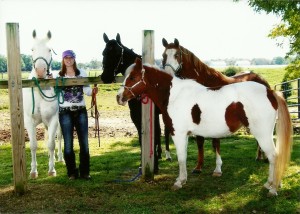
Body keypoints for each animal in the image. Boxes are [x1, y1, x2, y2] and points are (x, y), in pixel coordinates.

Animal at [23, 29, 63, 178]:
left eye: (49, 49)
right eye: (32, 49)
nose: (40, 71)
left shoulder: (53, 120)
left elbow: (51, 143)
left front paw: (52, 170)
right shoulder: (29, 121)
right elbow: (33, 145)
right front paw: (33, 171)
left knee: (59, 138)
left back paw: (60, 158)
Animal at [101, 32, 171, 173]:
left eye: (117, 53)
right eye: (104, 53)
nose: (105, 76)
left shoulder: (152, 116)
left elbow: (154, 136)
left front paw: (154, 166)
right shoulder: (135, 116)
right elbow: (141, 137)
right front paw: (143, 163)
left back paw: (167, 155)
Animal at [117, 57, 292, 196]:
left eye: (132, 77)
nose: (119, 97)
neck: (174, 95)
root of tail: (270, 92)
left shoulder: (178, 133)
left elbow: (181, 158)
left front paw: (179, 182)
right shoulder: (185, 134)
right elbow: (184, 157)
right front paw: (183, 179)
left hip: (262, 133)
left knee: (274, 156)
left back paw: (273, 189)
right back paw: (269, 184)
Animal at [163, 38, 270, 176]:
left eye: (176, 54)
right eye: (164, 55)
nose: (168, 75)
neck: (205, 84)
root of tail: (261, 79)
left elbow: (215, 142)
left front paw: (218, 169)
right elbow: (200, 142)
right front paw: (198, 167)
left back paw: (265, 157)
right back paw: (260, 156)